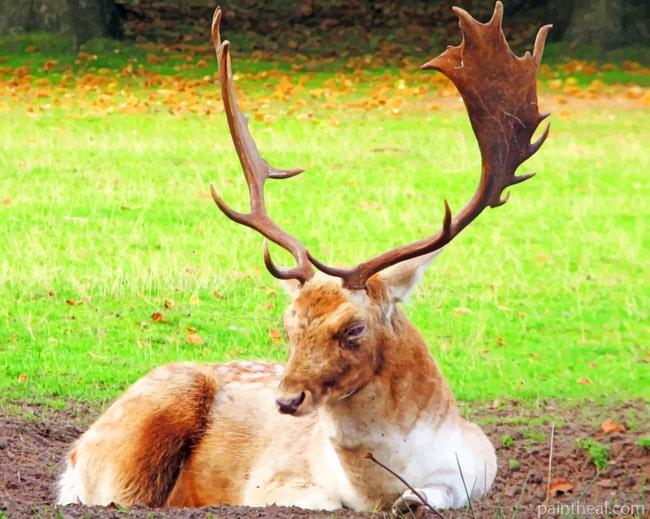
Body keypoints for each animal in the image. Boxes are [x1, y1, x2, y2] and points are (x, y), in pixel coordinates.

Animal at [58, 2, 551, 513]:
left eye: (353, 329)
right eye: (289, 323)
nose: (287, 401)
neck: (378, 486)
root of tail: (72, 458)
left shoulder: (478, 469)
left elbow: (432, 497)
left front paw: (412, 500)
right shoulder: (271, 481)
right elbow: (324, 502)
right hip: (137, 439)